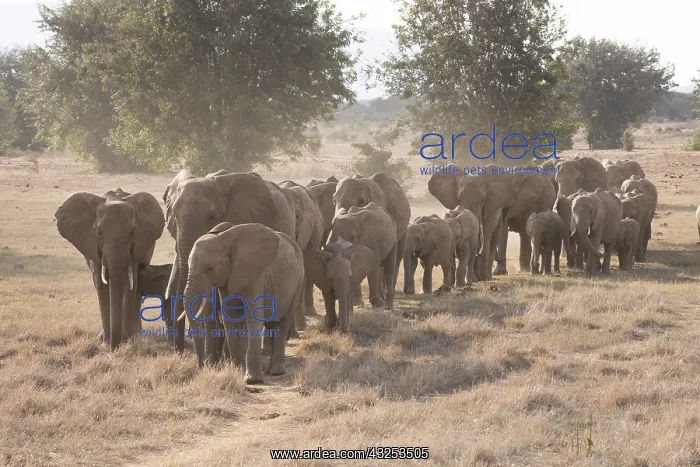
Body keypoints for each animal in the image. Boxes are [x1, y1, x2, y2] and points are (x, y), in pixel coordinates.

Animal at [55, 189, 165, 349]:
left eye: (132, 232)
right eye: (99, 233)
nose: (115, 346)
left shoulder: (136, 247)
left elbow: (131, 285)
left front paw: (126, 342)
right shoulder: (93, 247)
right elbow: (101, 285)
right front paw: (105, 343)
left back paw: (136, 335)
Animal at [179, 222, 304, 382]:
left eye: (210, 268)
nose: (201, 367)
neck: (224, 238)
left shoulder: (255, 273)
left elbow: (253, 318)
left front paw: (253, 380)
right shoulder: (228, 277)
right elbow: (230, 318)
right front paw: (238, 370)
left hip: (299, 281)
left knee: (282, 323)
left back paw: (276, 372)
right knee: (272, 325)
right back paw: (270, 370)